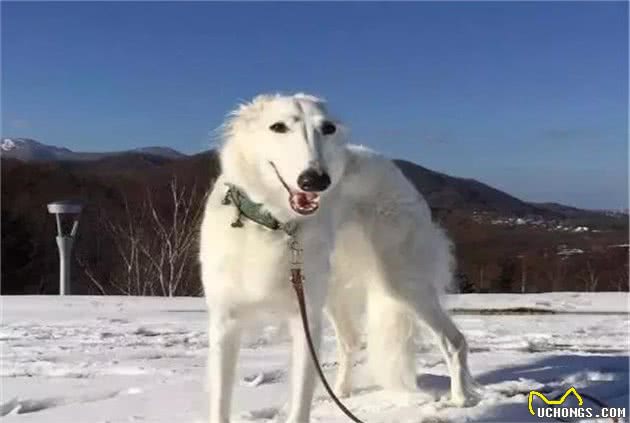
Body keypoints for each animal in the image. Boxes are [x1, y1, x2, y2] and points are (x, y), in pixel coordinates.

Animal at [200, 93, 482, 423]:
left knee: (454, 341)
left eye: (328, 128)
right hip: (337, 288)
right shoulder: (225, 322)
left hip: (401, 281)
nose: (316, 180)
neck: (273, 224)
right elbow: (219, 405)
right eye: (278, 126)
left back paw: (461, 399)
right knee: (351, 340)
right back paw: (340, 394)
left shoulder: (304, 319)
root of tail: (387, 164)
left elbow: (300, 404)